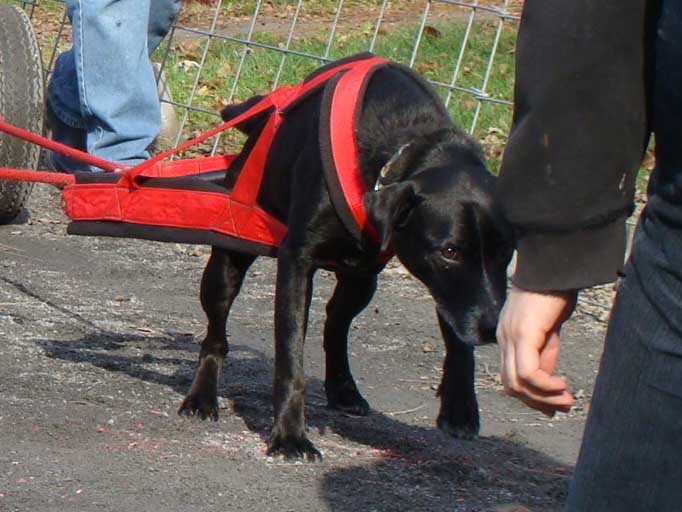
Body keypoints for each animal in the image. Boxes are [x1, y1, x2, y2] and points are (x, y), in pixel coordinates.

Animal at [175, 56, 510, 460]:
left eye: (506, 251)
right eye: (449, 251)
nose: (493, 327)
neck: (406, 144)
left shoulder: (447, 287)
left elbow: (456, 328)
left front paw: (460, 406)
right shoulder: (297, 261)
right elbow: (290, 356)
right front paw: (290, 435)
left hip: (362, 278)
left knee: (336, 321)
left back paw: (343, 388)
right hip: (228, 260)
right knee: (216, 333)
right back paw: (202, 397)